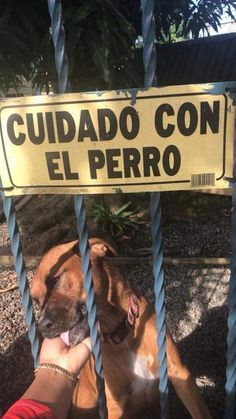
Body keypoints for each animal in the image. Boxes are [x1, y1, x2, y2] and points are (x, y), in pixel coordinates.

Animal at [31, 238, 212, 418]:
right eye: (36, 301)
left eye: (55, 280)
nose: (42, 327)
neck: (121, 334)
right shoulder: (115, 406)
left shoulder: (180, 374)